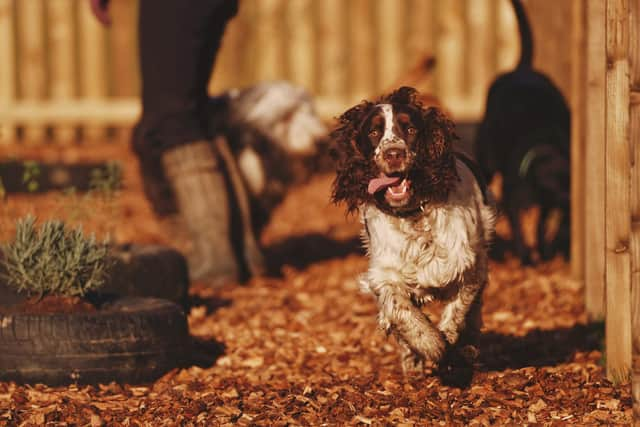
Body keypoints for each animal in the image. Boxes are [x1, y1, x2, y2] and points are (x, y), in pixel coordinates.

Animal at [332, 88, 498, 376]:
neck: (414, 215)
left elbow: (459, 309)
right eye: (373, 132)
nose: (393, 153)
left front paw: (451, 340)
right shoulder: (385, 274)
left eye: (410, 129)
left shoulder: (470, 264)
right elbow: (402, 311)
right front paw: (430, 345)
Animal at [476, 0, 568, 266]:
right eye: (559, 188)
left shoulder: (547, 205)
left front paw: (544, 251)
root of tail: (521, 69)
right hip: (487, 160)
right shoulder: (514, 195)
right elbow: (518, 227)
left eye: (569, 188)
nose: (568, 206)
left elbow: (540, 225)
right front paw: (526, 257)